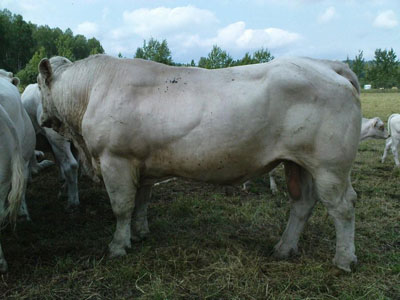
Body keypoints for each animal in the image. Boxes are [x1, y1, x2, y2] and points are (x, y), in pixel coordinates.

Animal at [38, 54, 362, 272]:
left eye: (39, 86)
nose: (41, 119)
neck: (92, 91)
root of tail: (326, 64)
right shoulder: (141, 164)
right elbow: (141, 201)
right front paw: (140, 233)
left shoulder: (114, 159)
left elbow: (121, 208)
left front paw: (118, 245)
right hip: (299, 163)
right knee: (303, 204)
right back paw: (284, 248)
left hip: (330, 167)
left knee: (343, 208)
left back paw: (344, 259)